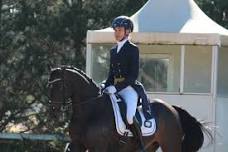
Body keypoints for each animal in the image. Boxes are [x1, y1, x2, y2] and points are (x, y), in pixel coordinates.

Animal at [47, 66, 212, 152]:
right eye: (49, 86)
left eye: (60, 86)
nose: (53, 110)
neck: (90, 112)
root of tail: (172, 108)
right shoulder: (77, 145)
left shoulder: (99, 146)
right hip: (151, 146)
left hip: (170, 144)